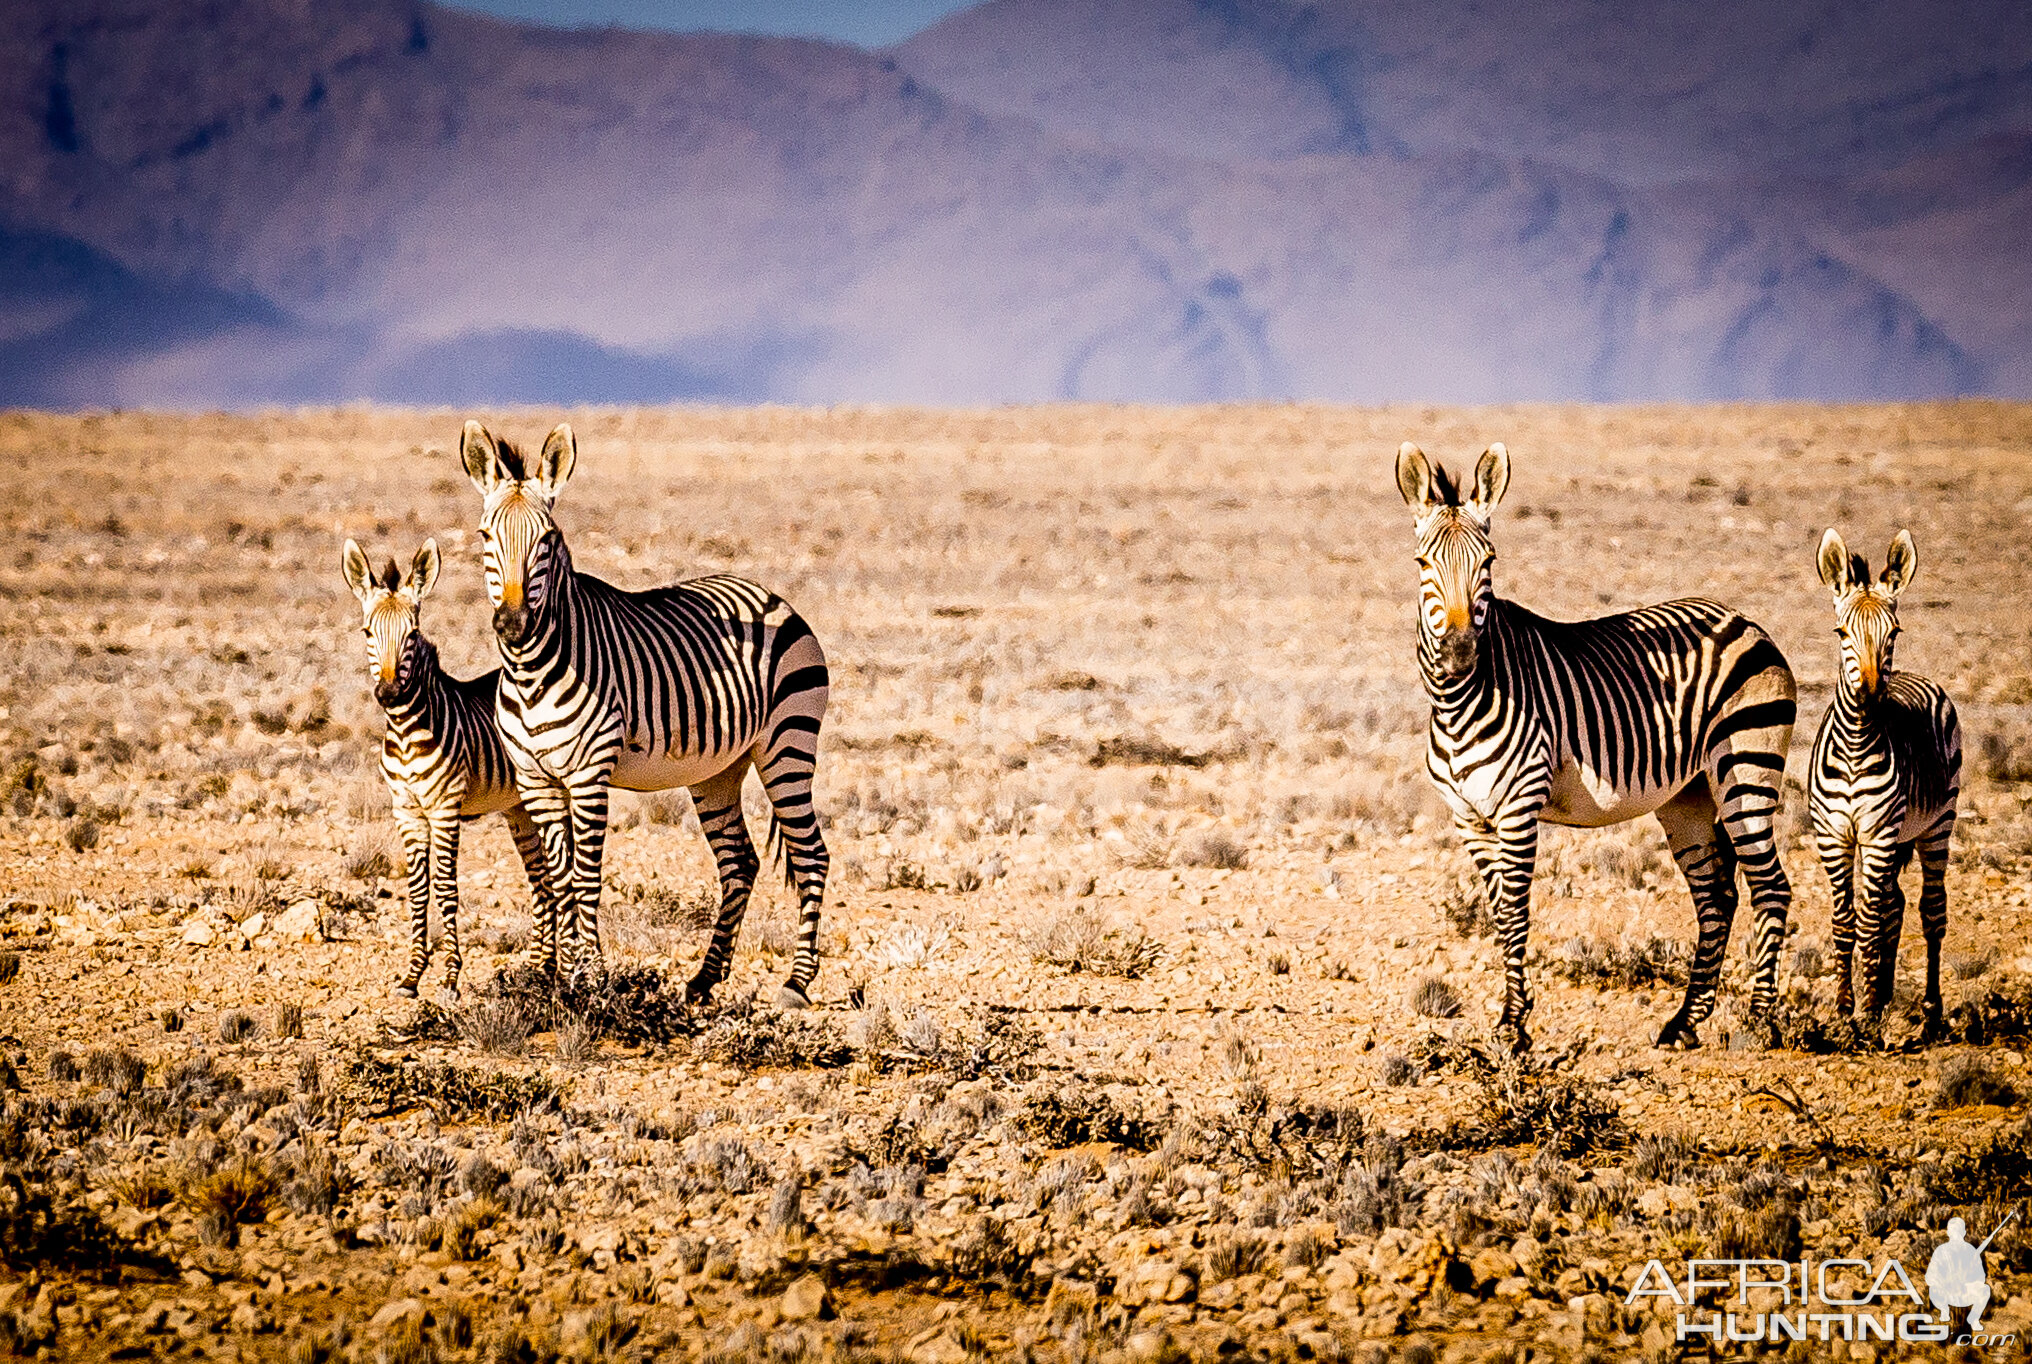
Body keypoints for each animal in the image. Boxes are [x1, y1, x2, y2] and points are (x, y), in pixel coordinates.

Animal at [341, 540, 560, 996]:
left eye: (411, 634)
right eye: (367, 632)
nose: (389, 693)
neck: (405, 731)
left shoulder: (443, 809)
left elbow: (444, 888)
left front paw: (451, 976)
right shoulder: (406, 811)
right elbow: (417, 891)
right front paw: (411, 975)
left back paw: (550, 969)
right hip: (517, 809)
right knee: (541, 880)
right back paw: (538, 970)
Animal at [461, 420, 833, 1008]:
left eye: (547, 540)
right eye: (483, 537)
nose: (514, 624)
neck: (529, 670)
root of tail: (770, 594)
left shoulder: (589, 775)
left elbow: (585, 878)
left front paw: (590, 978)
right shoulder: (535, 781)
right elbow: (558, 880)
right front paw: (556, 980)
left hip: (787, 746)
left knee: (811, 854)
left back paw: (796, 983)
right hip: (716, 770)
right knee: (740, 862)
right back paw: (703, 979)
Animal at [1398, 443, 1796, 1048]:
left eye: (1489, 563)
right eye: (1423, 565)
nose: (1461, 654)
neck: (1457, 702)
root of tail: (1743, 619)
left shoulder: (1518, 808)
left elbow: (1516, 912)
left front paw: (1514, 1026)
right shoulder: (1469, 818)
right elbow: (1498, 915)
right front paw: (1512, 1019)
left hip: (1745, 769)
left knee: (1770, 887)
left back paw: (1758, 1022)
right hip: (1688, 795)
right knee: (1716, 895)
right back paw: (1684, 1023)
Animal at [1820, 532, 1958, 1036]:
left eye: (1893, 633)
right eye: (1841, 633)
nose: (1873, 693)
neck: (1856, 745)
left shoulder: (1879, 835)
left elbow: (1868, 921)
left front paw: (1864, 1012)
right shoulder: (1834, 836)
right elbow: (1846, 921)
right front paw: (1847, 1009)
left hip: (1937, 826)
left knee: (1930, 912)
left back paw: (1930, 1010)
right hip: (1902, 835)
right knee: (1894, 906)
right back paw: (1883, 997)